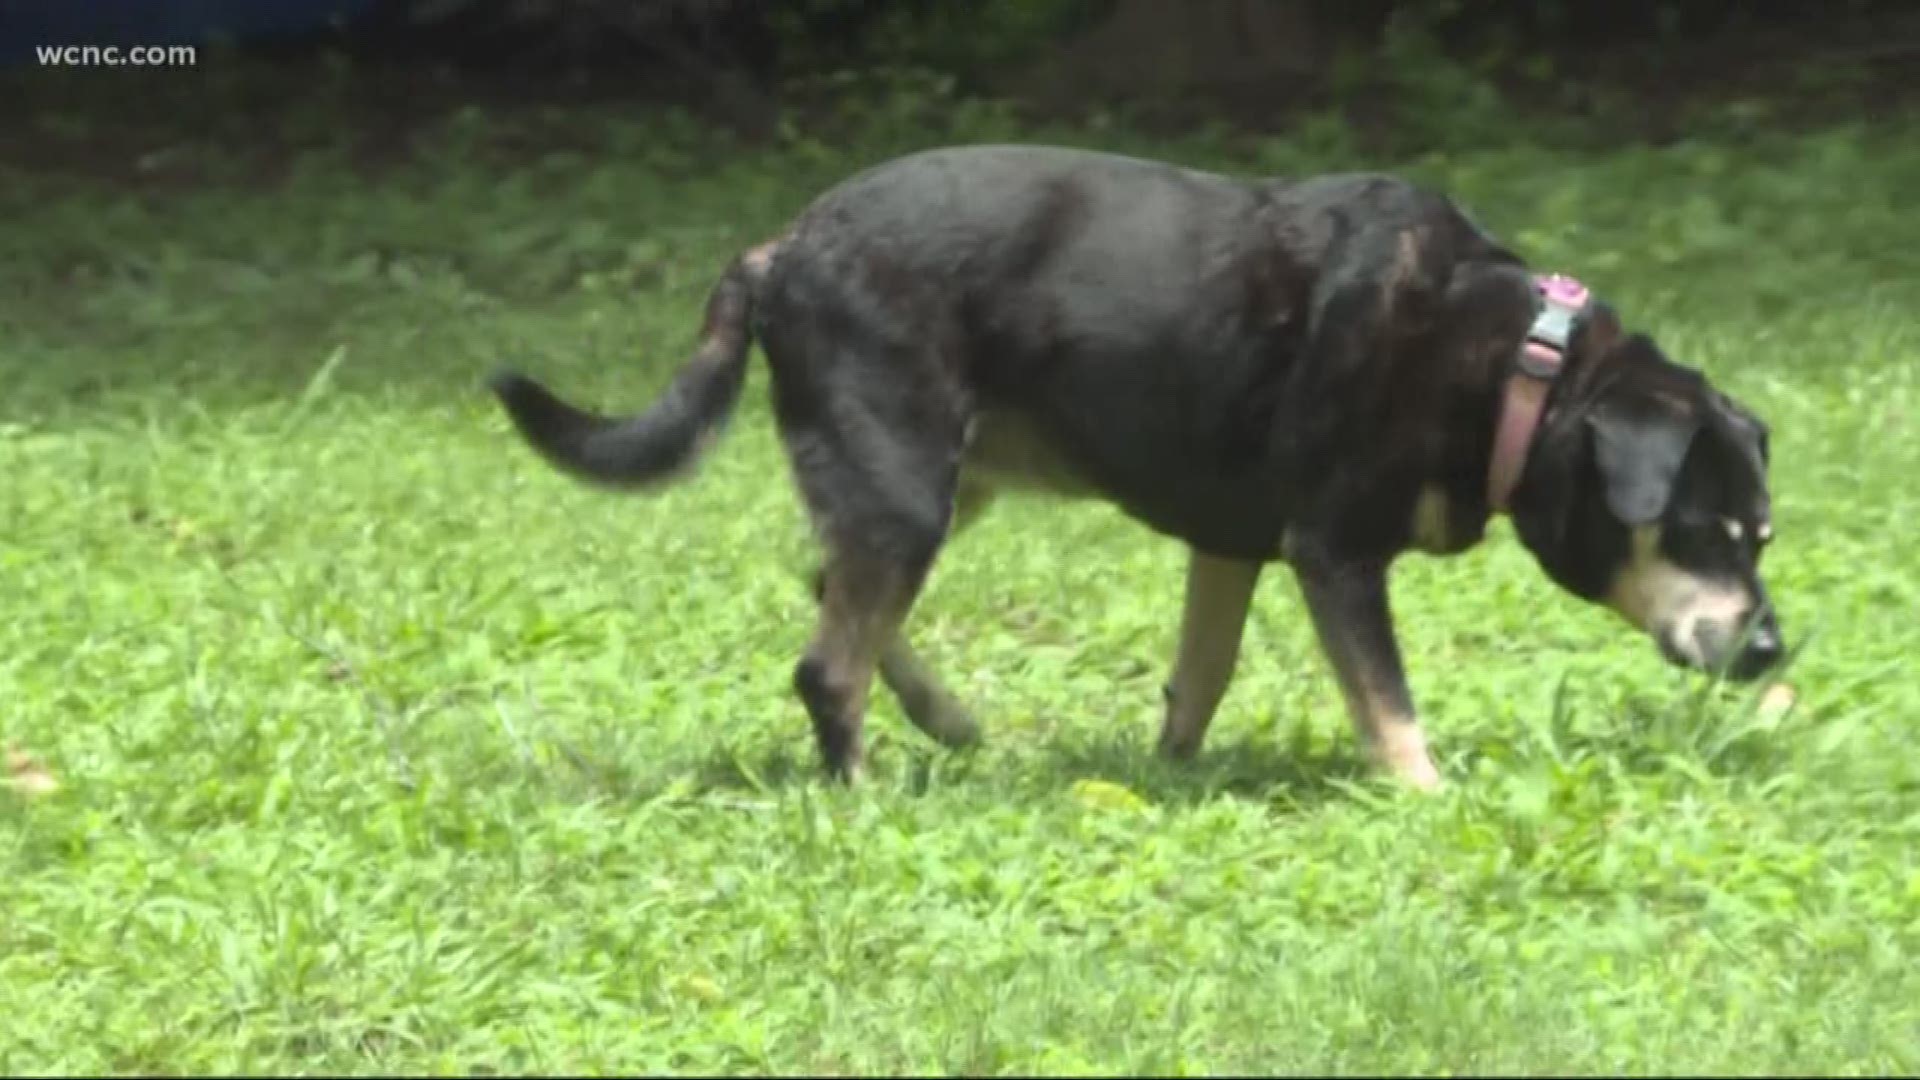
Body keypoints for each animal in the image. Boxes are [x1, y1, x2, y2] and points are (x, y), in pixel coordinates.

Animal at [483, 145, 1781, 780]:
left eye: (1761, 538)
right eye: (1703, 532)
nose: (1775, 648)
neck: (1518, 370)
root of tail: (777, 249)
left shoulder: (1231, 543)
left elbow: (1201, 677)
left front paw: (1169, 774)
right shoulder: (1332, 552)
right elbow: (1391, 708)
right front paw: (1430, 802)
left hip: (935, 480)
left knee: (830, 592)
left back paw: (945, 720)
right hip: (907, 485)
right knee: (824, 665)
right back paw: (861, 787)